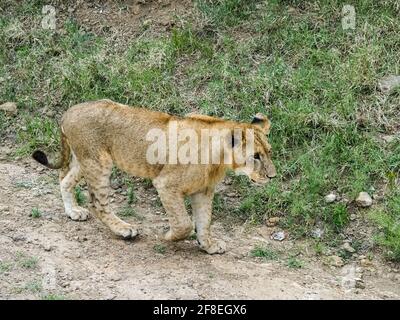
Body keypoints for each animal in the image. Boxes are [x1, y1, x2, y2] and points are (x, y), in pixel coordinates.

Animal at [32, 99, 276, 254]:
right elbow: (184, 223)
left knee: (64, 180)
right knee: (97, 203)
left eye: (269, 152)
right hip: (99, 162)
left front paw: (208, 245)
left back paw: (73, 212)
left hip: (84, 159)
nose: (273, 177)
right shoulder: (166, 184)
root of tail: (68, 112)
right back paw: (123, 229)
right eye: (255, 156)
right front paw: (169, 236)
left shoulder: (203, 191)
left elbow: (204, 221)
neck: (219, 159)